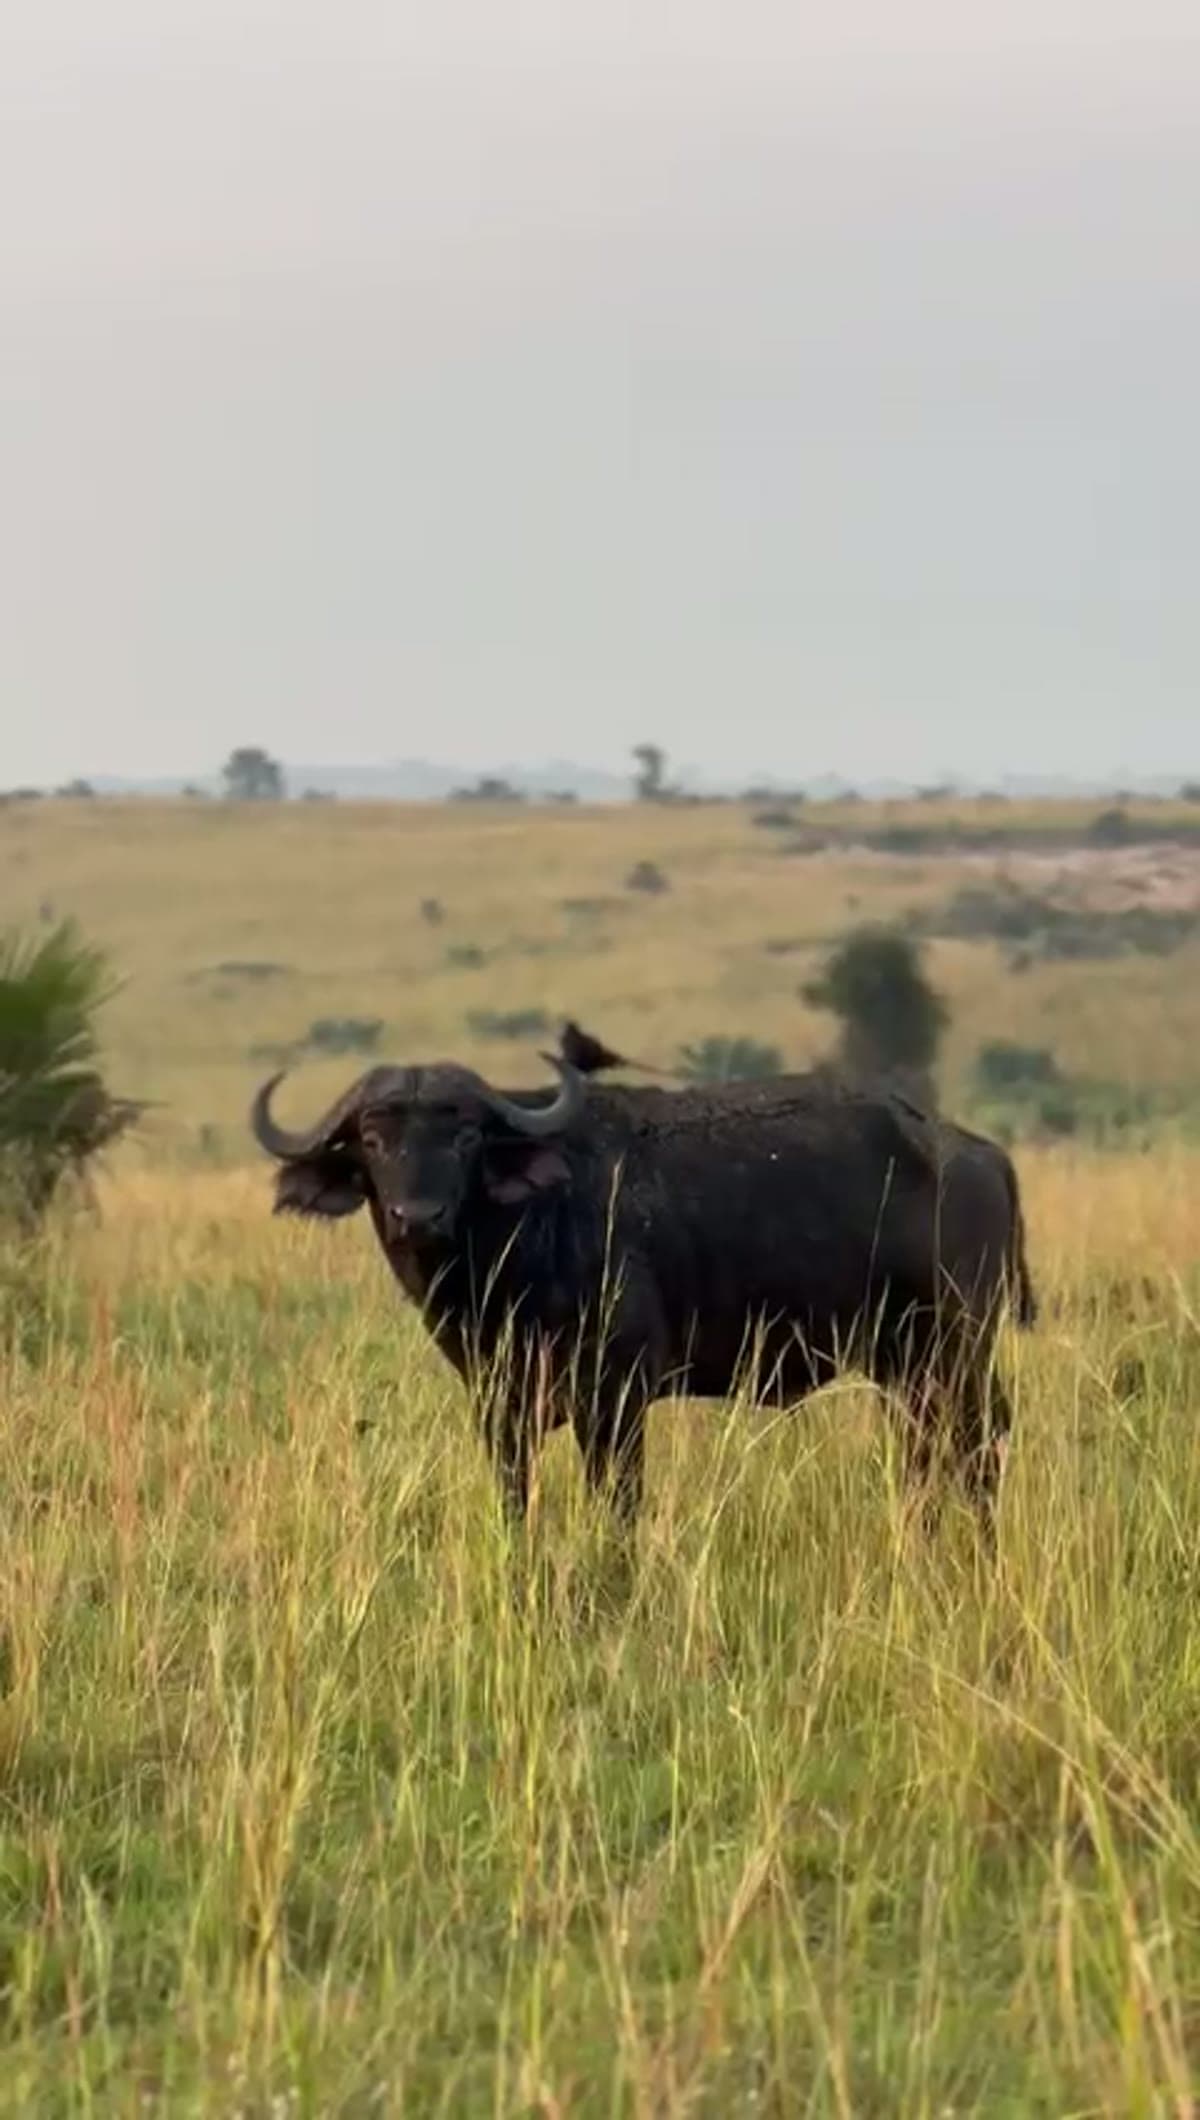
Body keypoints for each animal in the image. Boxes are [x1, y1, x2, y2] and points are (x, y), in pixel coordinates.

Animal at [251, 1048, 1035, 1530]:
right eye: (373, 1141)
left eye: (468, 1137)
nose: (418, 1217)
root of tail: (975, 1152)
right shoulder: (500, 1403)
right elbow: (515, 1501)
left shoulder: (617, 1397)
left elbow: (617, 1504)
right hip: (904, 1366)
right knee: (929, 1453)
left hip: (953, 1353)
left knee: (978, 1448)